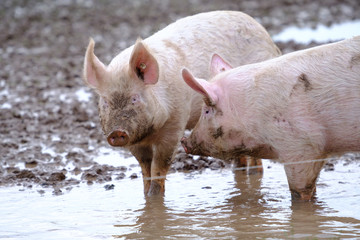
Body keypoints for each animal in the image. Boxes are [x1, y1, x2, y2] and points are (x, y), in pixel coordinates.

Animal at [83, 10, 280, 196]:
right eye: (105, 101)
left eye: (134, 98)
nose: (116, 132)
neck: (150, 132)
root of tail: (267, 37)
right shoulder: (135, 142)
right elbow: (145, 167)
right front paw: (146, 195)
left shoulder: (176, 123)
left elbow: (160, 165)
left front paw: (154, 198)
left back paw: (254, 175)